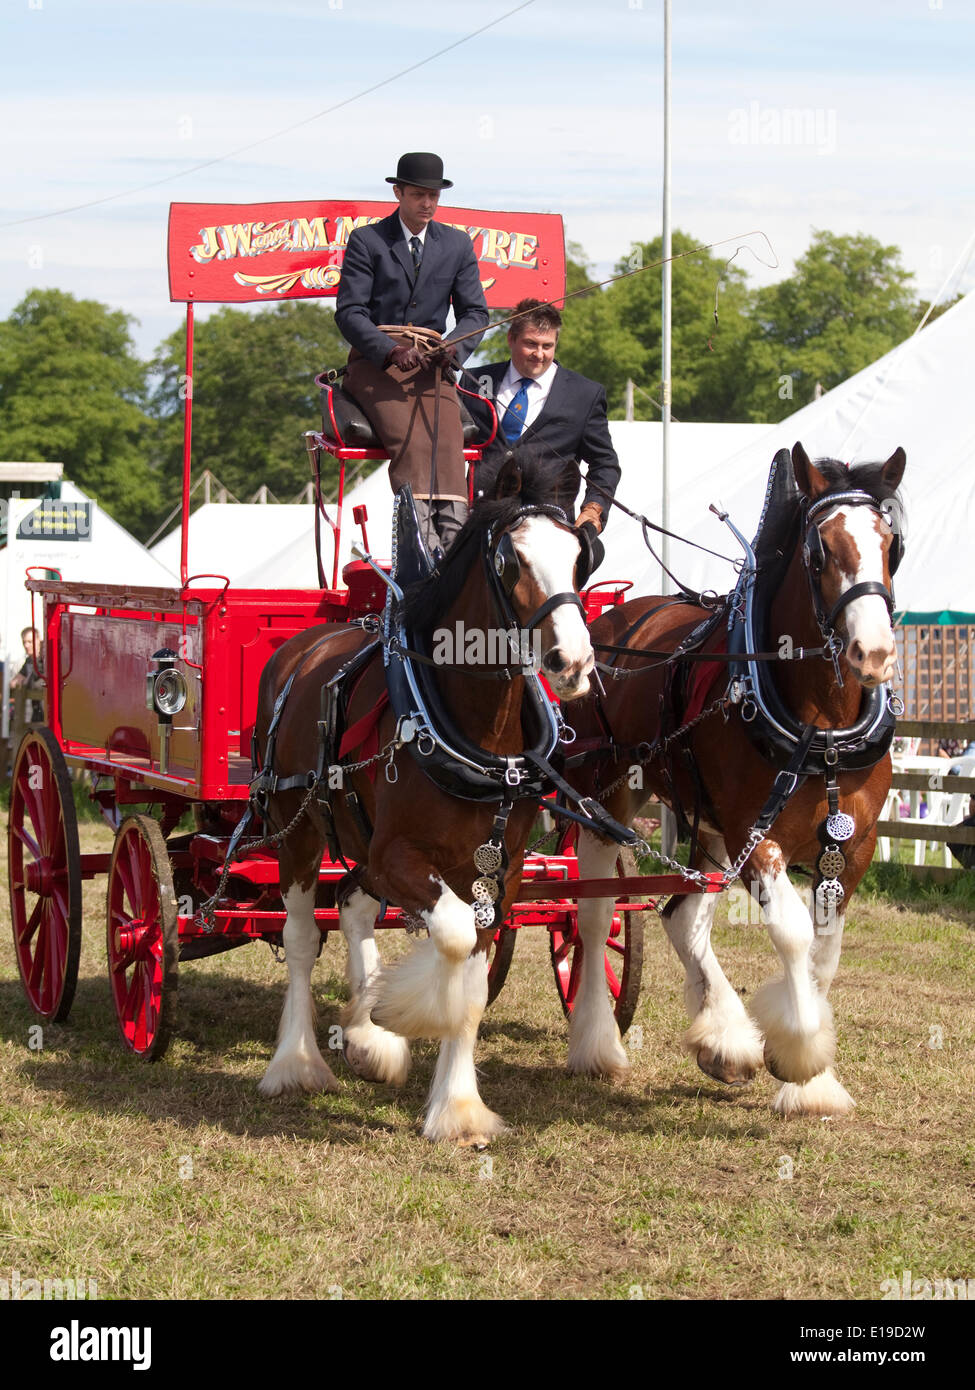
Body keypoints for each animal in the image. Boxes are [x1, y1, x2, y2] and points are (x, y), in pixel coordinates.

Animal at [253, 450, 592, 1145]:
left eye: (580, 555)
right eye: (512, 560)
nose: (573, 663)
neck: (473, 731)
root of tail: (301, 648)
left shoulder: (501, 873)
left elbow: (474, 975)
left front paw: (456, 1106)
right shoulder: (399, 857)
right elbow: (455, 941)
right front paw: (408, 1013)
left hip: (356, 839)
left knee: (352, 905)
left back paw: (365, 1038)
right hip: (296, 828)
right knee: (302, 936)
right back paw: (296, 1063)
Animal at [561, 444, 906, 1117]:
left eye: (892, 544)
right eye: (821, 551)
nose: (873, 653)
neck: (821, 724)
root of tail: (616, 619)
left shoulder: (853, 844)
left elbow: (826, 949)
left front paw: (811, 1080)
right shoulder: (758, 833)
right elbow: (794, 934)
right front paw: (799, 1058)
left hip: (706, 816)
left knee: (683, 914)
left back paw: (722, 1039)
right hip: (604, 796)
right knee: (592, 917)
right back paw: (598, 1044)